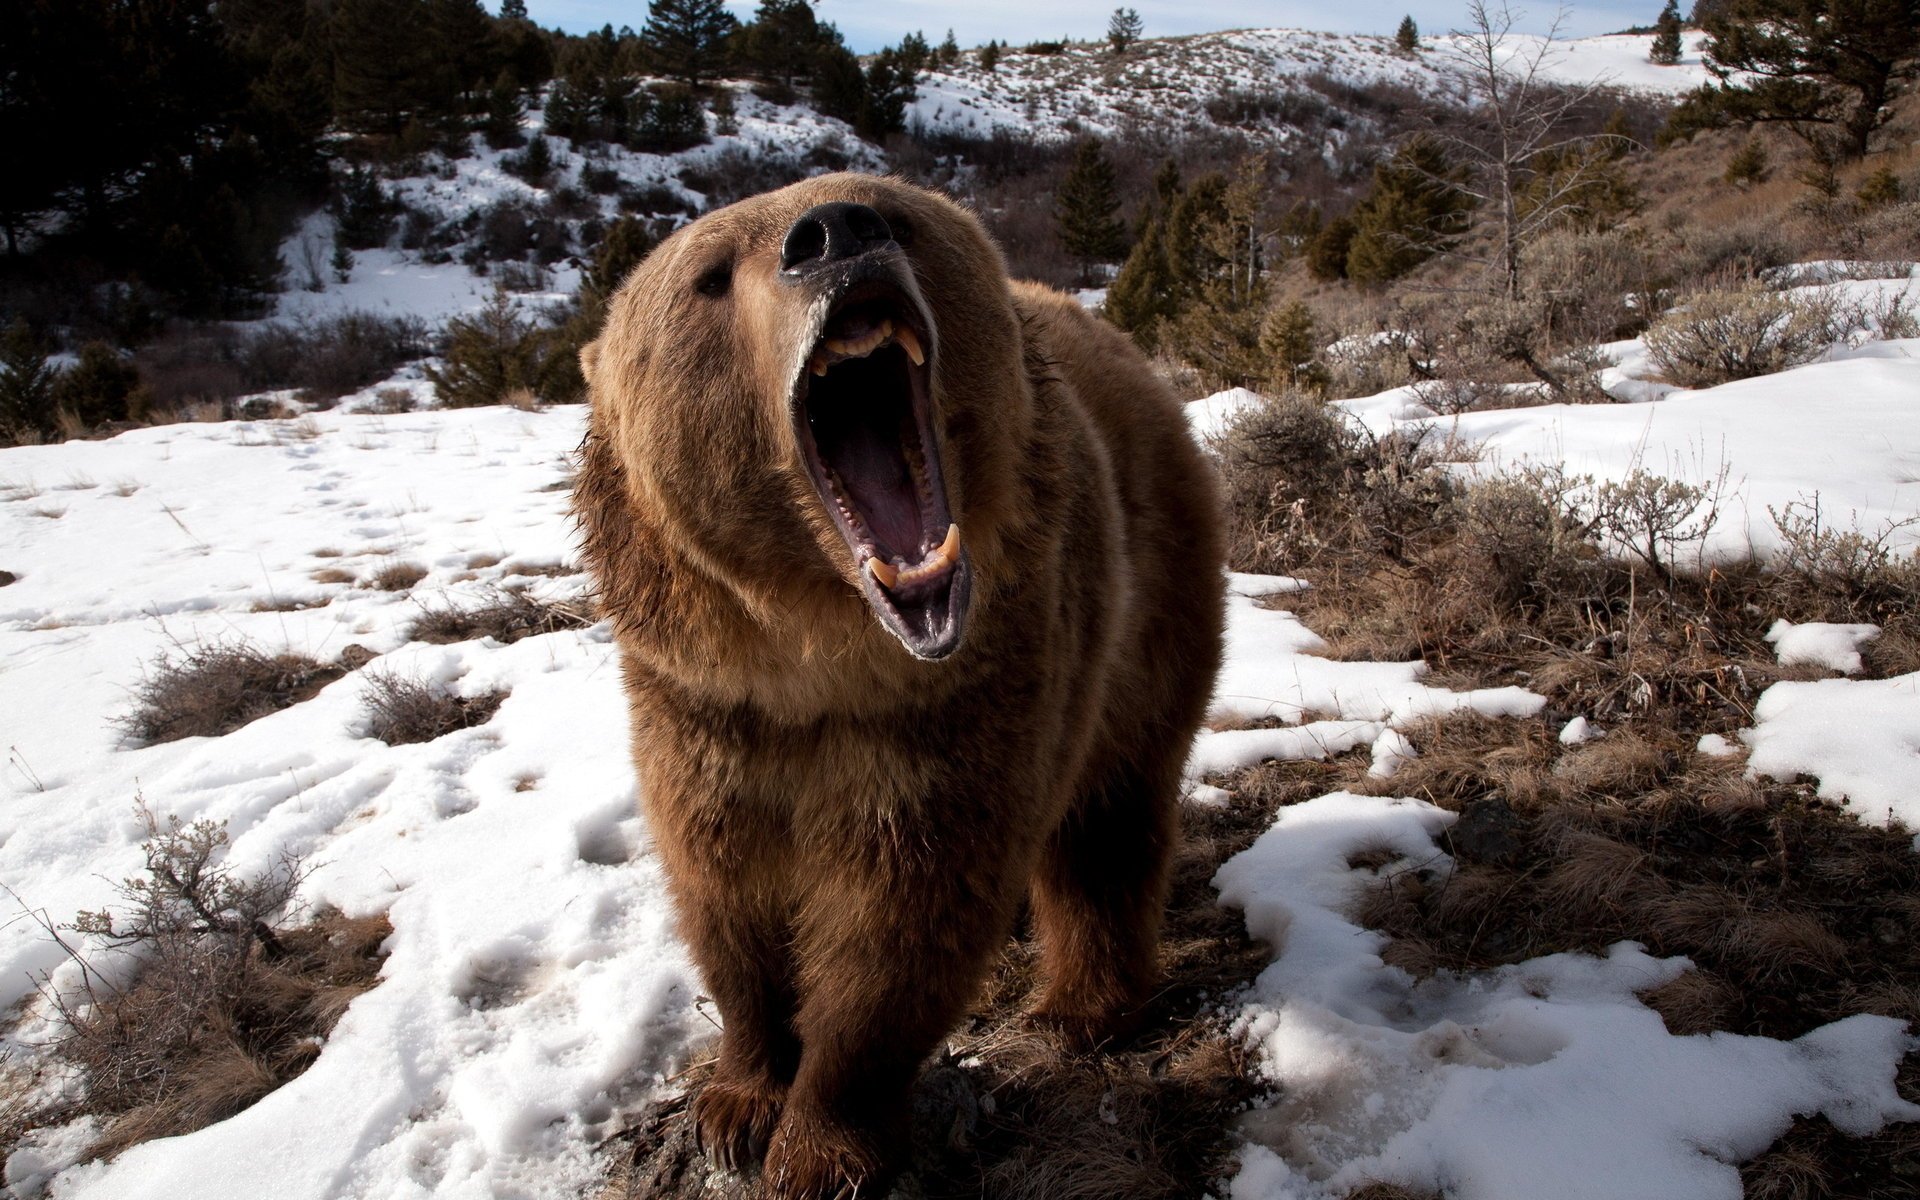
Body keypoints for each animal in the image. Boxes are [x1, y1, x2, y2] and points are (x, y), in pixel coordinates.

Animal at [573, 174, 1225, 1199]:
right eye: (709, 275)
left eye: (894, 211)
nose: (835, 234)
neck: (819, 659)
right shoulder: (704, 708)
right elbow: (725, 894)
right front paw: (736, 1103)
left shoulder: (954, 707)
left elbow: (901, 923)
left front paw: (819, 1147)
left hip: (1147, 597)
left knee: (1108, 814)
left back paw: (1080, 1007)